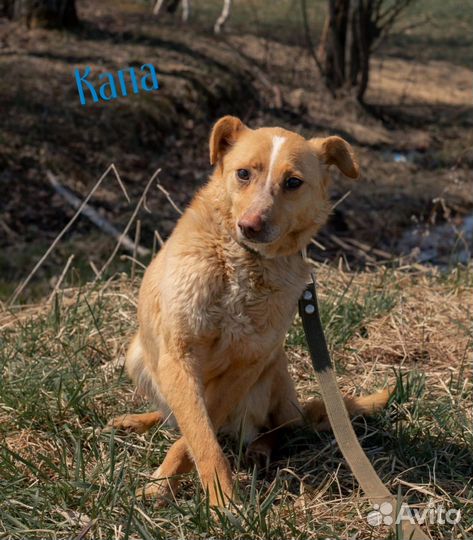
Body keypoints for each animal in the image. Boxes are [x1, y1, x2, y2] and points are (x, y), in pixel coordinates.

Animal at [108, 117, 390, 506]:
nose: (251, 226)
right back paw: (139, 420)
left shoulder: (247, 364)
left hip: (272, 370)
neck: (243, 264)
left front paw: (215, 498)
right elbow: (199, 433)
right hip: (138, 355)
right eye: (243, 173)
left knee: (276, 428)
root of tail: (297, 406)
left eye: (293, 182)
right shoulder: (178, 355)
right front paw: (181, 488)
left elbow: (196, 439)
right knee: (174, 417)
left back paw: (259, 450)